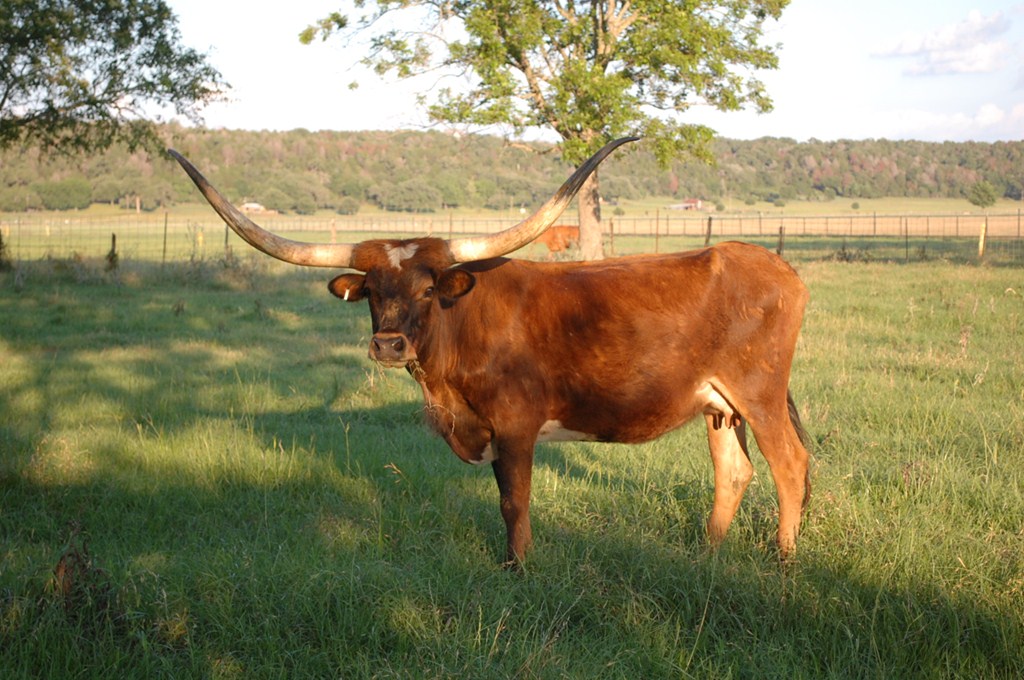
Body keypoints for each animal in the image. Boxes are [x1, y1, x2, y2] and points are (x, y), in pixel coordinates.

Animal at [169, 137, 812, 566]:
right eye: (371, 292)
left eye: (429, 289)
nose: (388, 344)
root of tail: (773, 264)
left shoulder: (516, 424)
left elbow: (514, 501)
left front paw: (517, 568)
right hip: (718, 405)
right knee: (734, 471)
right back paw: (708, 555)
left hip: (759, 393)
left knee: (789, 463)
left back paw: (783, 560)